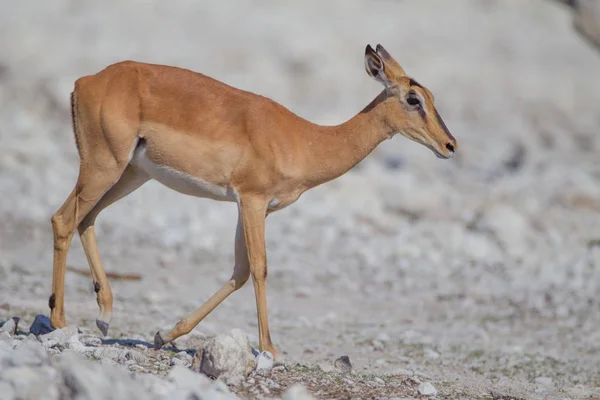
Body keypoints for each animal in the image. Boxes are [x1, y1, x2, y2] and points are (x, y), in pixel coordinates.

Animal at [49, 44, 458, 360]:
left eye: (431, 97)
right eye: (413, 98)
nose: (449, 145)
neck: (306, 139)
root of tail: (87, 81)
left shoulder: (247, 207)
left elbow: (241, 271)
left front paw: (164, 335)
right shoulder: (252, 201)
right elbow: (260, 268)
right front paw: (271, 350)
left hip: (130, 174)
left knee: (86, 219)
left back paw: (104, 315)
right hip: (104, 167)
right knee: (63, 219)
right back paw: (60, 323)